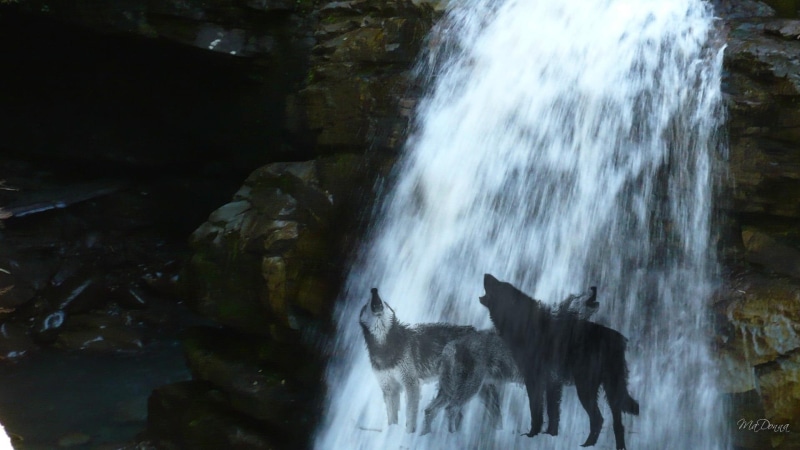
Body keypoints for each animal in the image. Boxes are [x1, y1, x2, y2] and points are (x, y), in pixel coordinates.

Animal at [359, 287, 478, 433]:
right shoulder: (389, 389)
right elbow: (392, 418)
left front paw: (409, 433)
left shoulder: (411, 383)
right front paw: (391, 432)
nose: (374, 289)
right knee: (454, 413)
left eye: (384, 300)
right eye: (366, 302)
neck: (384, 346)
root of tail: (475, 330)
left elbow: (410, 415)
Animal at [421, 286, 599, 435]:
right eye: (577, 296)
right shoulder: (548, 382)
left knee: (430, 410)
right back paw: (453, 437)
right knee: (451, 409)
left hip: (454, 390)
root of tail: (450, 346)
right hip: (470, 388)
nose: (593, 287)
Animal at [479, 274, 639, 450]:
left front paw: (532, 435)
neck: (522, 323)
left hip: (586, 388)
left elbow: (536, 410)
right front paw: (550, 436)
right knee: (617, 423)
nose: (486, 274)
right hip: (611, 390)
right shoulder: (553, 382)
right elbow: (553, 413)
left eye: (499, 285)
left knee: (598, 419)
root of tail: (617, 338)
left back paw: (586, 445)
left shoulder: (534, 380)